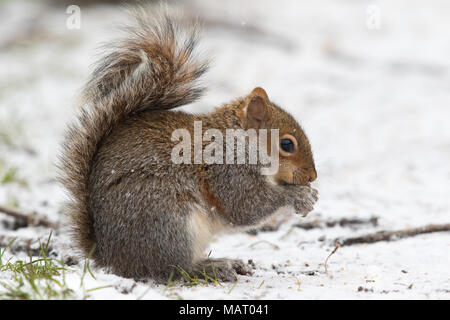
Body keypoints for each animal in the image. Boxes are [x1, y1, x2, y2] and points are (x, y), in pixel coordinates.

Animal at [58, 8, 318, 282]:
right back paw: (212, 267)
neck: (241, 140)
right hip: (171, 219)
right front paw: (299, 196)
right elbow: (245, 205)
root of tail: (111, 257)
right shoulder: (226, 168)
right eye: (287, 144)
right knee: (173, 267)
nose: (312, 176)